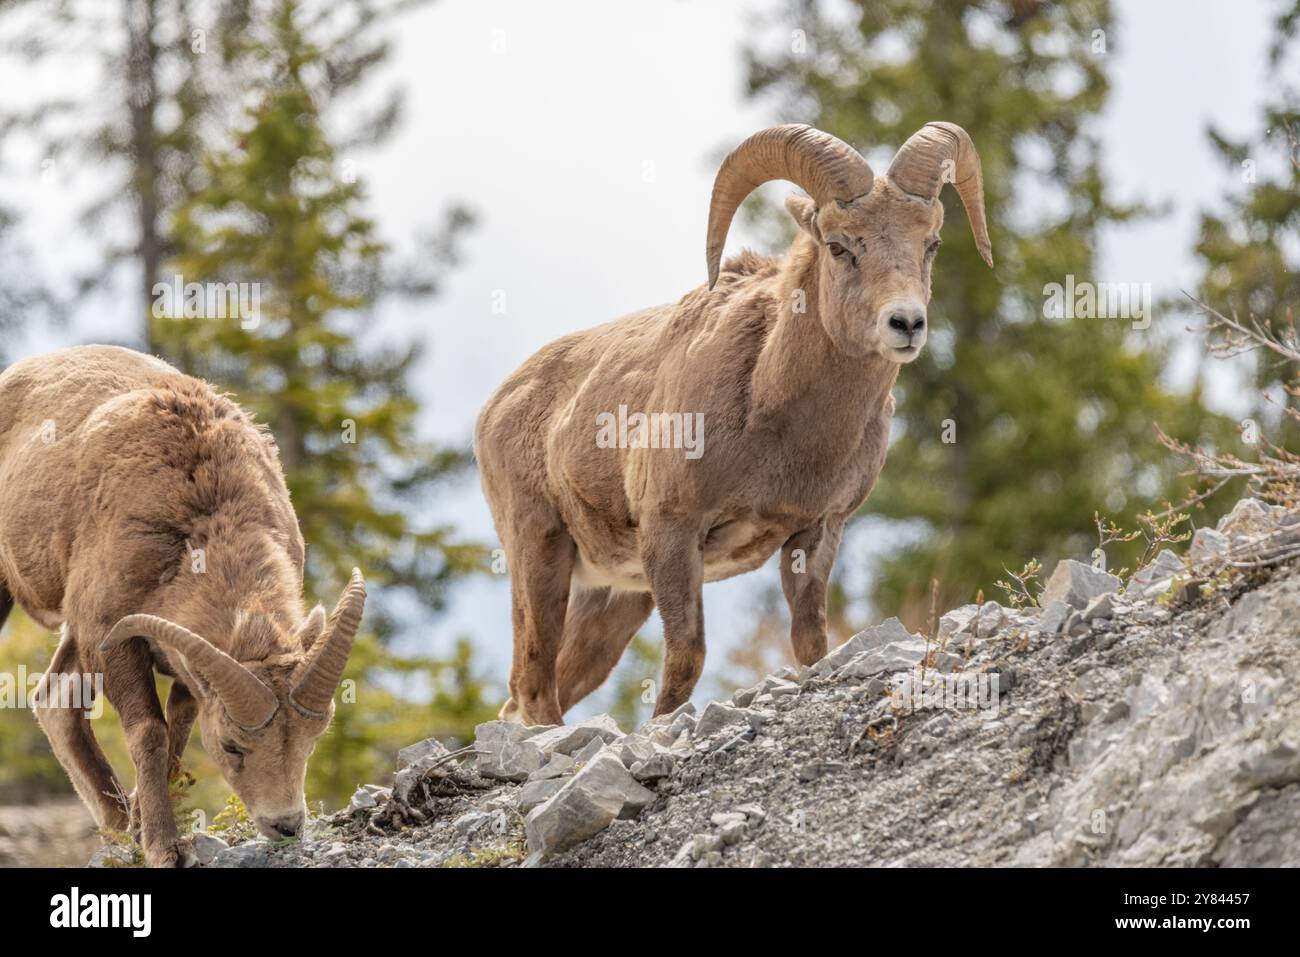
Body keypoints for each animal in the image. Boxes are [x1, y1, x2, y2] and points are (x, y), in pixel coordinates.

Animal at [0, 345, 366, 868]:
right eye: (232, 747)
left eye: (311, 741)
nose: (286, 825)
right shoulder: (111, 636)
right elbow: (150, 734)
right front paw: (164, 847)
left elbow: (177, 728)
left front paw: (142, 830)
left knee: (56, 700)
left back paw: (117, 826)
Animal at [478, 121, 993, 722]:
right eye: (839, 246)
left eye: (930, 244)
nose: (906, 323)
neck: (776, 421)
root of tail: (497, 404)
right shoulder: (673, 531)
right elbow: (685, 662)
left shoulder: (817, 531)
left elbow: (811, 641)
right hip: (539, 551)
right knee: (533, 687)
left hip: (613, 599)